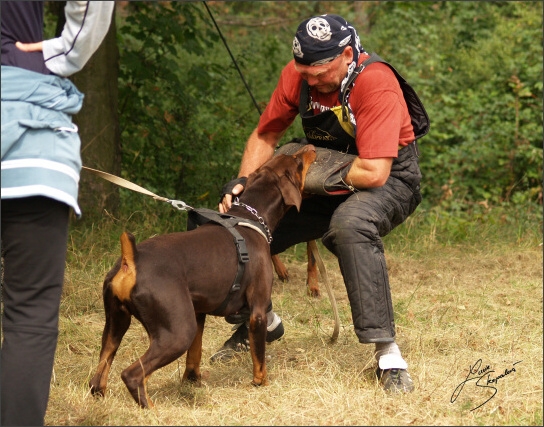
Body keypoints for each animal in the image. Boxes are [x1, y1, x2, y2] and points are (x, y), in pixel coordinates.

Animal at [86, 144, 312, 408]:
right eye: (297, 161)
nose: (310, 147)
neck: (249, 217)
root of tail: (131, 260)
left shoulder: (199, 312)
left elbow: (195, 354)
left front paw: (192, 380)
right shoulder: (257, 310)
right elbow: (259, 357)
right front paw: (261, 383)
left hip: (116, 324)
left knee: (99, 374)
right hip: (177, 333)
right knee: (132, 374)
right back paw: (151, 408)